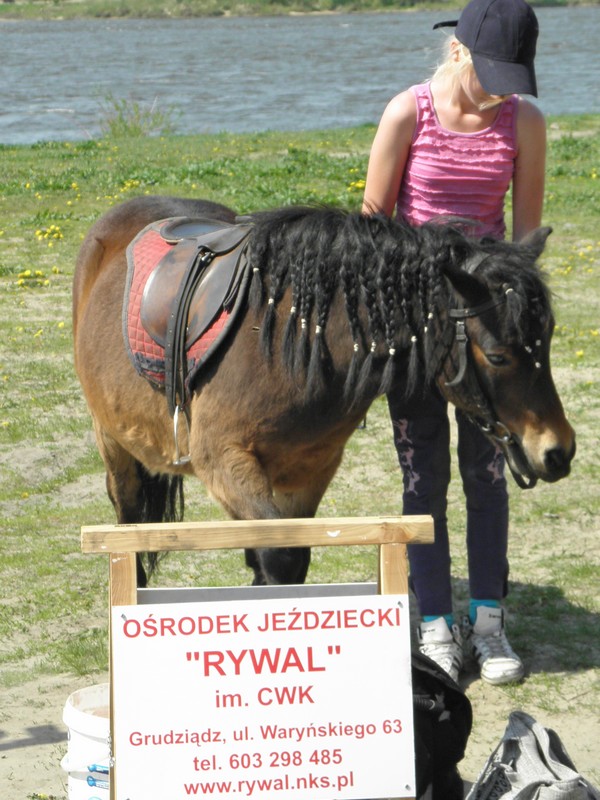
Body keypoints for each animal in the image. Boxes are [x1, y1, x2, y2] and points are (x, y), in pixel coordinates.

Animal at [73, 195, 575, 588]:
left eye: (549, 338)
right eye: (497, 356)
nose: (559, 450)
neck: (289, 340)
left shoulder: (310, 470)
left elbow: (287, 558)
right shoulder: (222, 460)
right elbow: (280, 556)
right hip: (112, 440)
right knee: (127, 512)